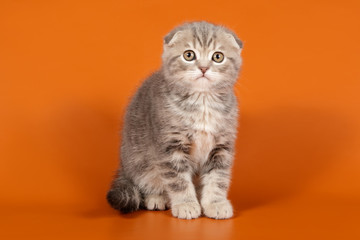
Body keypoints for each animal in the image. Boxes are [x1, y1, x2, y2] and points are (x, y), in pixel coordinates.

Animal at [107, 21, 242, 219]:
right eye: (189, 55)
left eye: (218, 56)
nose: (203, 68)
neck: (202, 102)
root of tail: (123, 168)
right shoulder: (171, 145)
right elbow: (178, 179)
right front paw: (186, 204)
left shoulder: (221, 147)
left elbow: (218, 178)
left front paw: (215, 203)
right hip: (139, 161)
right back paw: (157, 198)